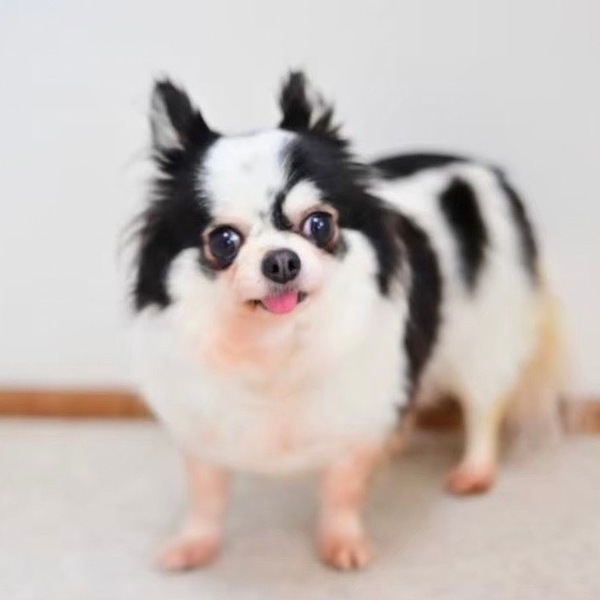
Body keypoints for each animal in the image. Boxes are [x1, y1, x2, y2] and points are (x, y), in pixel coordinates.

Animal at [131, 72, 565, 571]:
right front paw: (196, 543)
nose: (281, 260)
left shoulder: (357, 420)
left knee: (483, 409)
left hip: (488, 338)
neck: (276, 344)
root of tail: (479, 166)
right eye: (223, 241)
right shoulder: (203, 430)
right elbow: (206, 496)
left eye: (319, 224)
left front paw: (341, 541)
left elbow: (342, 489)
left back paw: (473, 472)